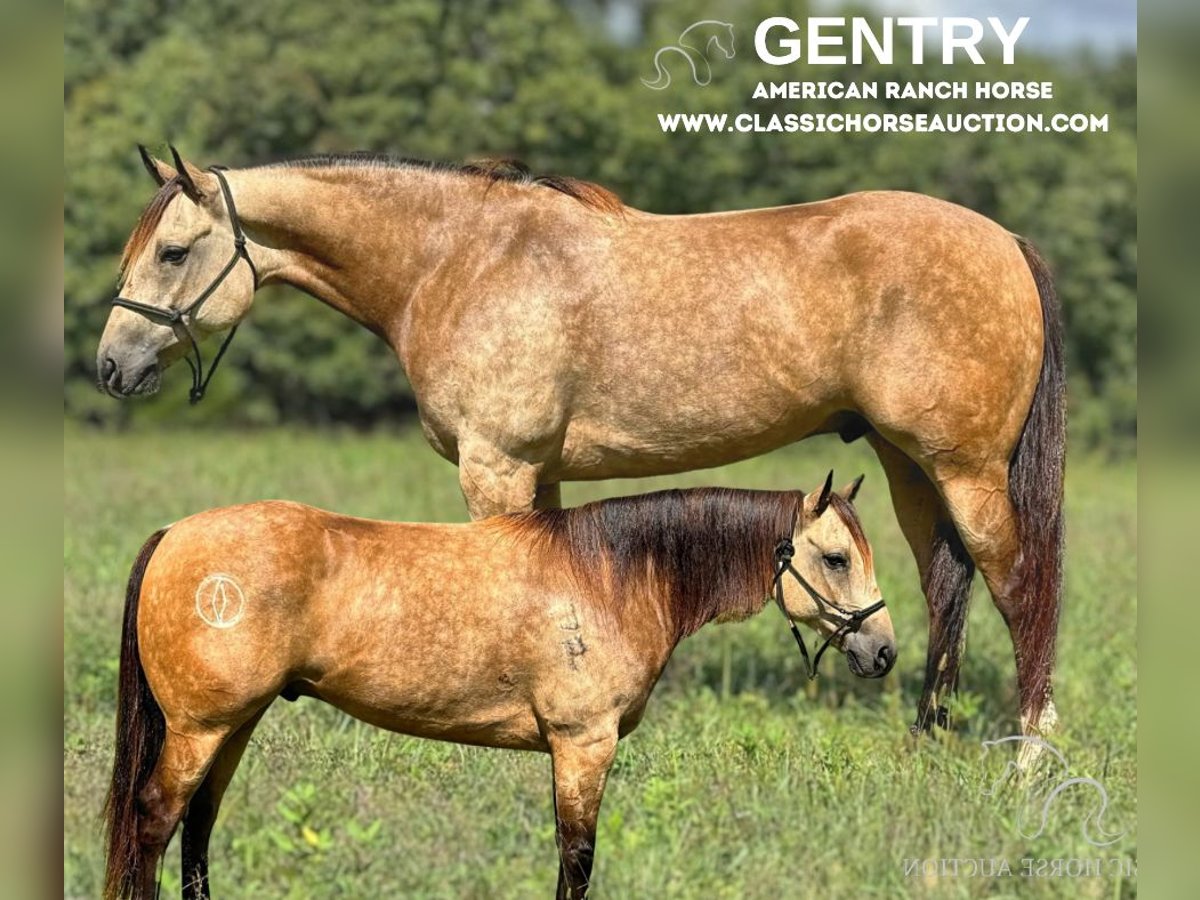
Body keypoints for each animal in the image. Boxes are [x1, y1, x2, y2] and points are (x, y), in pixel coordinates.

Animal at [98, 146, 1065, 739]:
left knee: (1019, 587)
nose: (112, 366)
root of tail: (1007, 241)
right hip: (910, 466)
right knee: (947, 584)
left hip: (966, 469)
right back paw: (928, 739)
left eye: (175, 251)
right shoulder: (543, 474)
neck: (461, 258)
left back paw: (1029, 754)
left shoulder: (496, 466)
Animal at [105, 475, 892, 897]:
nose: (882, 651)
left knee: (197, 828)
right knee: (155, 820)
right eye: (834, 557)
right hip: (200, 729)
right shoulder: (583, 745)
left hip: (233, 725)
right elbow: (577, 857)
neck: (606, 576)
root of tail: (175, 534)